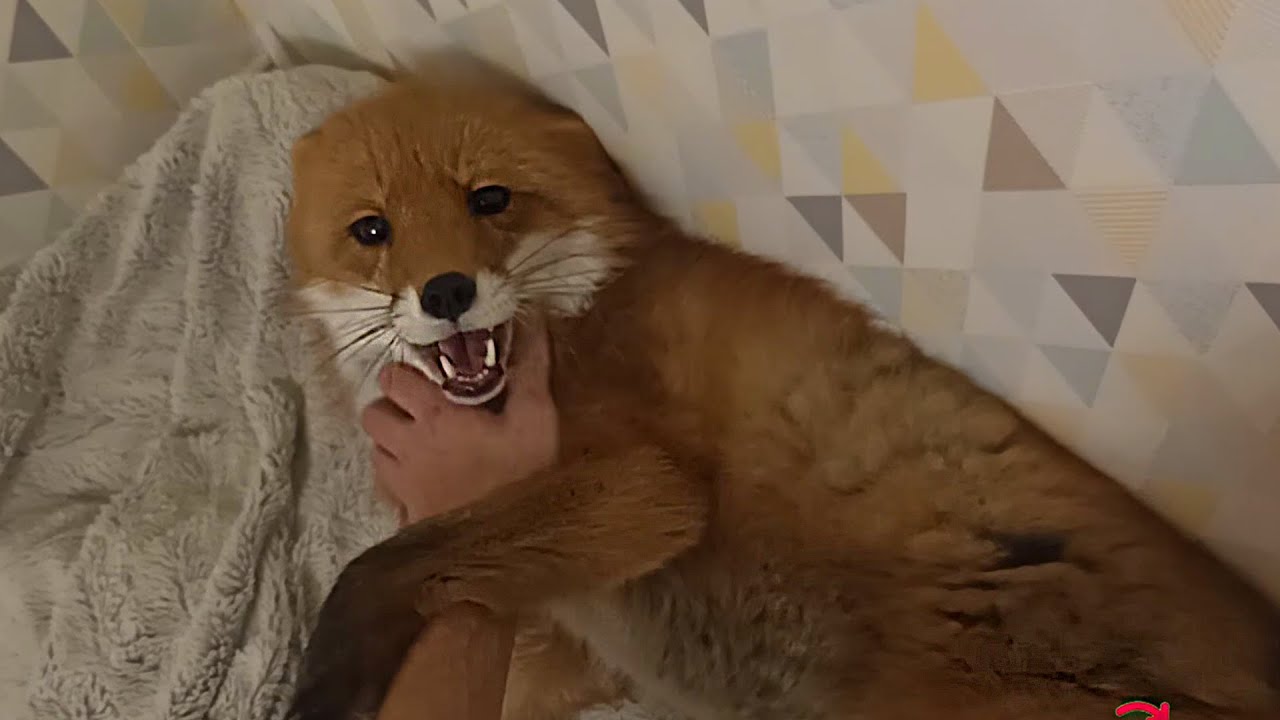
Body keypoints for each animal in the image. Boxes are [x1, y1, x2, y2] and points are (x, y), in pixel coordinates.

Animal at [284, 63, 1280, 720]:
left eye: (489, 199)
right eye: (371, 231)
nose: (446, 292)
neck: (581, 320)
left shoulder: (646, 492)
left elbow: (380, 564)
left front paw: (326, 677)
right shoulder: (575, 642)